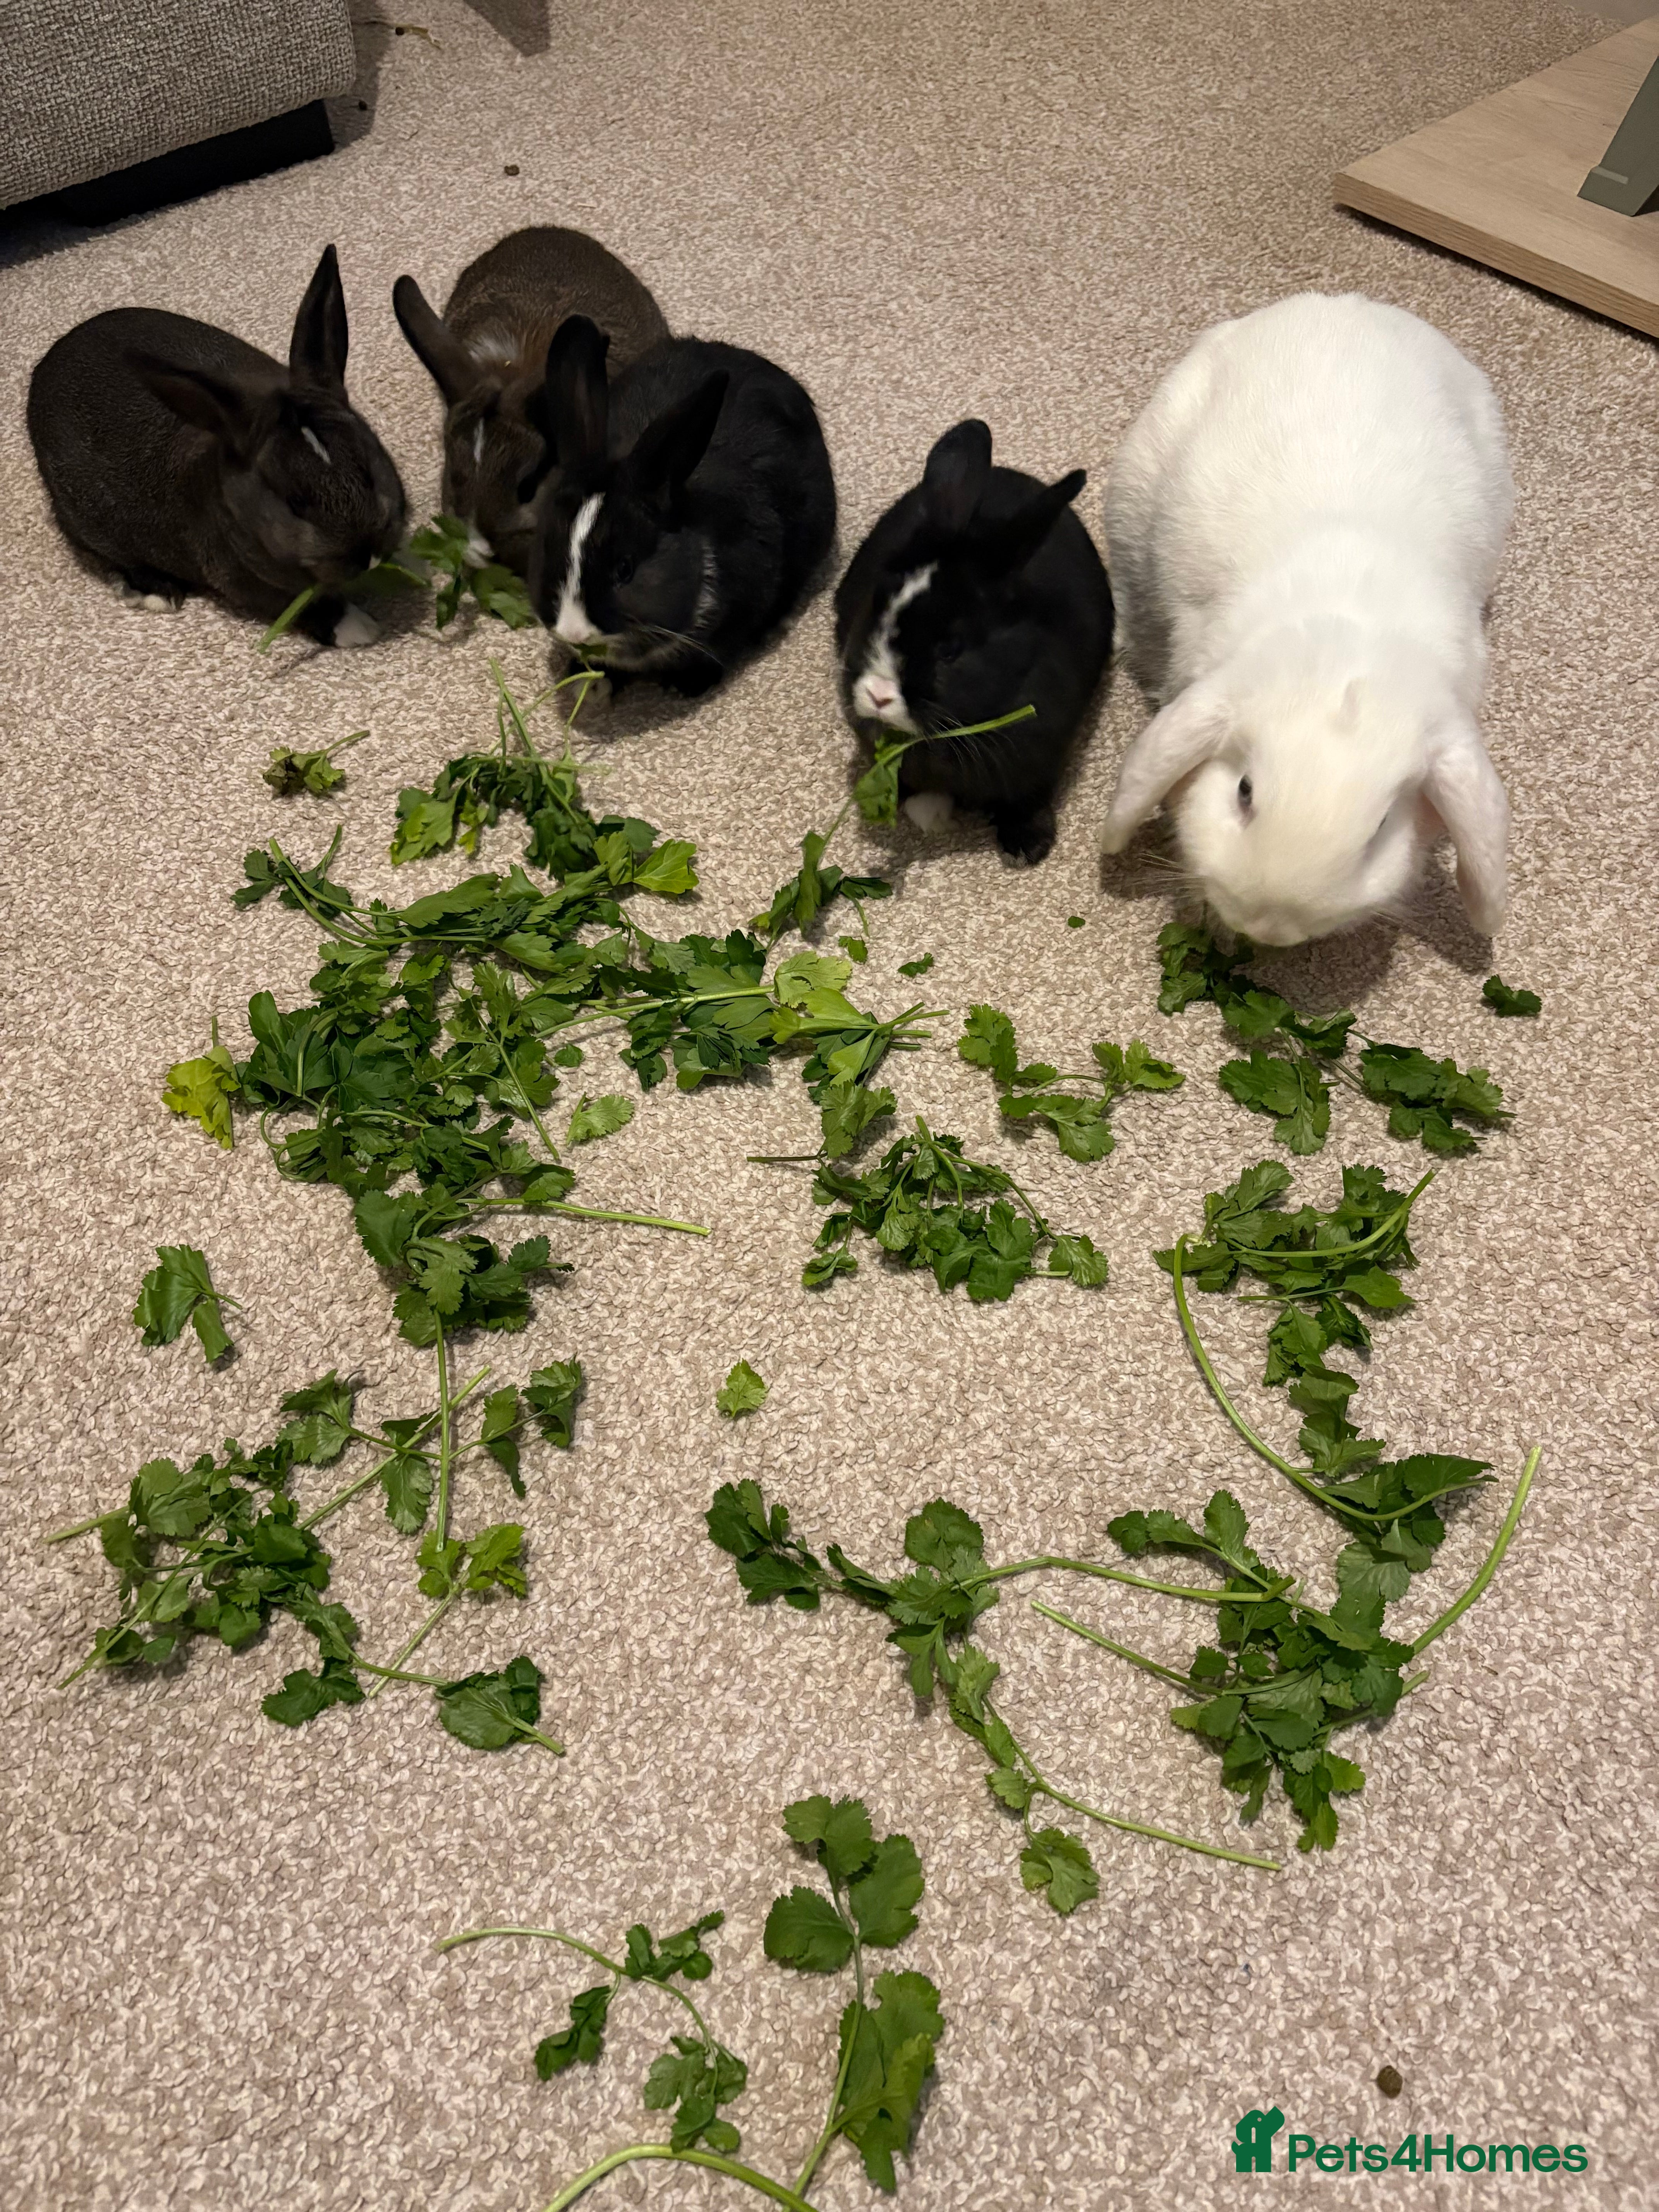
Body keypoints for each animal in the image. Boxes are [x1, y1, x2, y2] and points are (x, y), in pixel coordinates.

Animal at [27, 246, 405, 648]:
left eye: (369, 473)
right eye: (295, 503)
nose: (368, 554)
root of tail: (48, 363)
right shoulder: (249, 584)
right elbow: (304, 606)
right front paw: (359, 628)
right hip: (85, 519)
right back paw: (158, 593)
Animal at [835, 418, 1114, 864]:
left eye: (950, 650)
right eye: (874, 609)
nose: (878, 696)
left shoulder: (1043, 756)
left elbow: (1029, 795)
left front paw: (1028, 847)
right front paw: (928, 814)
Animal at [1099, 291, 1514, 945]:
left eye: (1381, 828)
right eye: (1244, 793)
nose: (1268, 927)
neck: (1349, 638)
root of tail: (1345, 304)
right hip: (1134, 491)